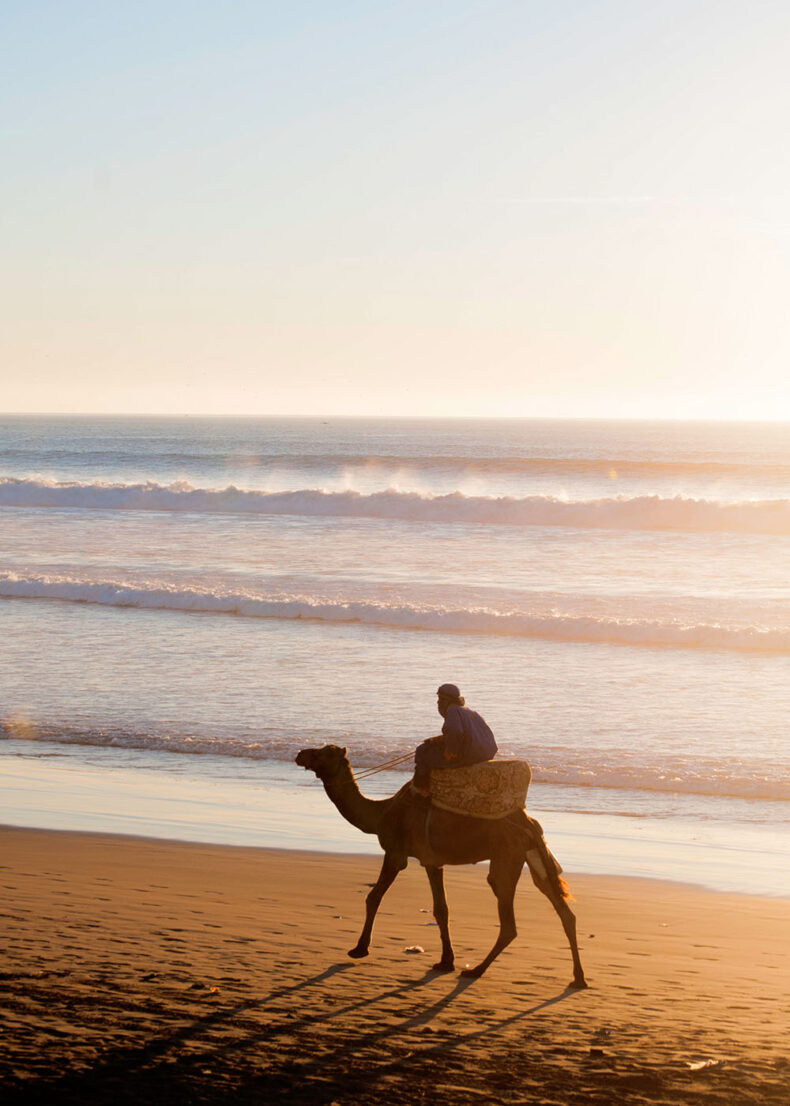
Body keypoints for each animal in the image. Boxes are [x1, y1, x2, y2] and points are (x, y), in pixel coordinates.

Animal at [294, 743, 584, 986]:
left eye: (323, 752)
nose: (300, 754)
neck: (381, 813)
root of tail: (528, 822)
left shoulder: (396, 853)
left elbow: (373, 897)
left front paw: (359, 949)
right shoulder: (433, 861)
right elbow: (441, 909)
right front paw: (446, 962)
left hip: (507, 858)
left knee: (509, 922)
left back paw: (476, 970)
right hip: (533, 857)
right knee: (563, 911)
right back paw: (578, 979)